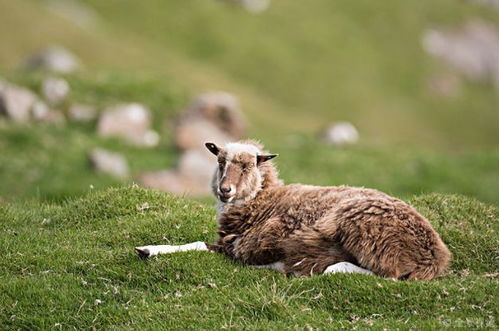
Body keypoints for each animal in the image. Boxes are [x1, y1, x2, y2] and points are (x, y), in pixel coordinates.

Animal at [137, 140, 454, 280]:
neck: (263, 199)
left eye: (248, 165)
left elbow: (197, 244)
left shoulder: (240, 245)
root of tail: (434, 255)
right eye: (220, 161)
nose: (225, 190)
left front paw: (149, 249)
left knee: (385, 274)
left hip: (366, 234)